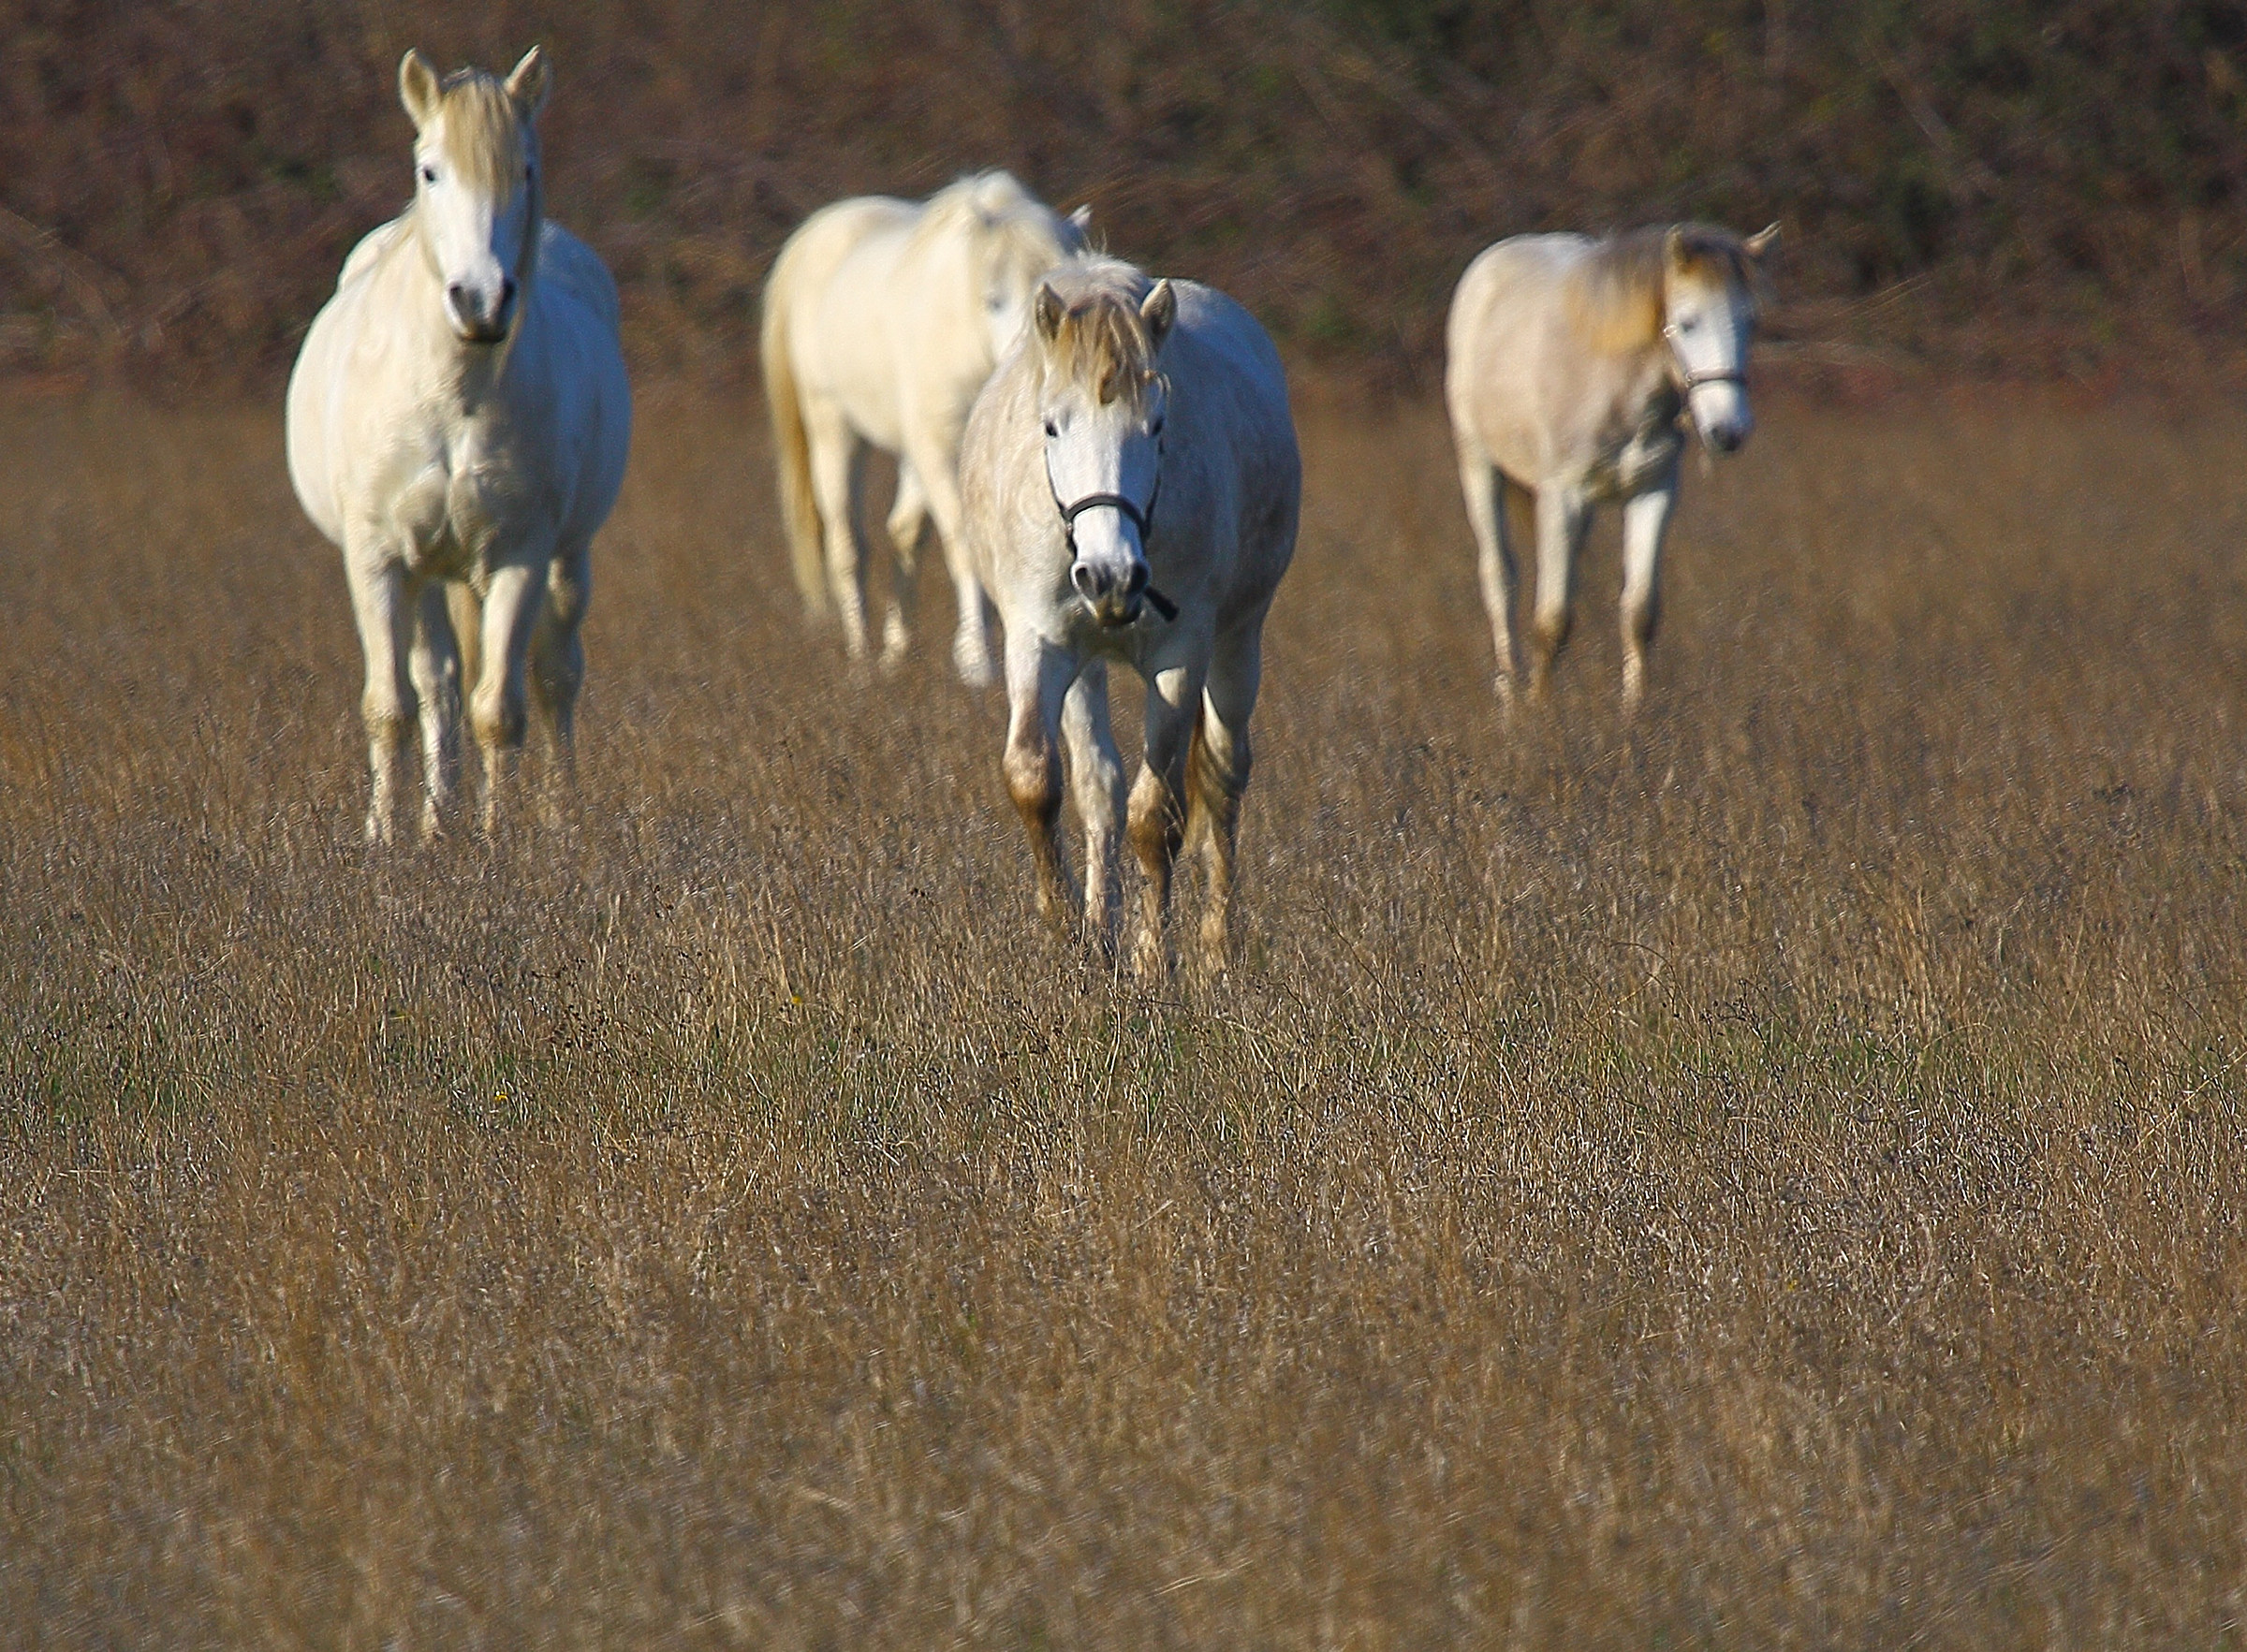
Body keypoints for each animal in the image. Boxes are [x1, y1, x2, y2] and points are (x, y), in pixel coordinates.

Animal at [287, 47, 631, 842]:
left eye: (525, 169)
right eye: (430, 171)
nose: (481, 300)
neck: (453, 394)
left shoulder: (519, 556)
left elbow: (499, 710)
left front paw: (498, 840)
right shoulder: (378, 558)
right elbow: (392, 708)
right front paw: (387, 839)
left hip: (567, 559)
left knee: (555, 677)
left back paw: (556, 818)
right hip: (426, 572)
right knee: (435, 684)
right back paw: (435, 823)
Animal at [761, 171, 1090, 685]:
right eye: (993, 300)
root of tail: (815, 234)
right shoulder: (939, 445)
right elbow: (963, 541)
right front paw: (976, 660)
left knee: (902, 534)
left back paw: (896, 653)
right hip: (834, 429)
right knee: (847, 542)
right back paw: (860, 654)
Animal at [960, 257, 1300, 977]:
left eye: (1157, 426)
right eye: (1052, 426)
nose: (1111, 576)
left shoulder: (1180, 657)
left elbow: (1158, 817)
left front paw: (1151, 962)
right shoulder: (1038, 643)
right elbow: (1037, 779)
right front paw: (1069, 936)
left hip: (1238, 646)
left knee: (1223, 776)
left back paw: (1215, 950)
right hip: (1085, 667)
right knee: (1100, 788)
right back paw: (1101, 925)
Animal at [1444, 221, 1776, 711]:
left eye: (1751, 321)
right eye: (1689, 321)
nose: (1728, 431)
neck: (1620, 387)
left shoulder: (1653, 492)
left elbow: (1639, 613)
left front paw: (1634, 713)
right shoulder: (1562, 498)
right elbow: (1553, 619)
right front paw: (1539, 712)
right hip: (1479, 466)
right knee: (1500, 580)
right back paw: (1509, 692)